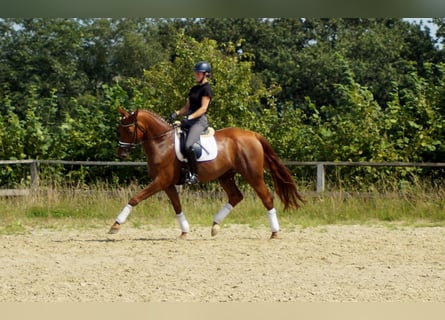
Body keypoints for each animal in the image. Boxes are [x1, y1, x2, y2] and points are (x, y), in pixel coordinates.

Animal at [108, 107, 302, 238]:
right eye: (119, 128)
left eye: (128, 129)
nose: (121, 153)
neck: (162, 142)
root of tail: (253, 135)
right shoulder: (167, 184)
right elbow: (177, 206)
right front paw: (185, 231)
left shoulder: (161, 181)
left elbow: (135, 198)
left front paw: (115, 225)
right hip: (225, 176)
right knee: (236, 196)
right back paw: (215, 225)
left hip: (252, 174)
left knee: (266, 198)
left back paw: (274, 232)